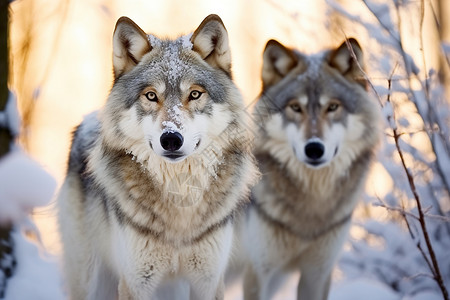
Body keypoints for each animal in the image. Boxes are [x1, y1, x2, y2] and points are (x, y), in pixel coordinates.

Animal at [57, 14, 256, 300]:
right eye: (151, 95)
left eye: (194, 94)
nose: (171, 139)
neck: (179, 195)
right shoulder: (136, 282)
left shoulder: (207, 280)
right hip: (89, 277)